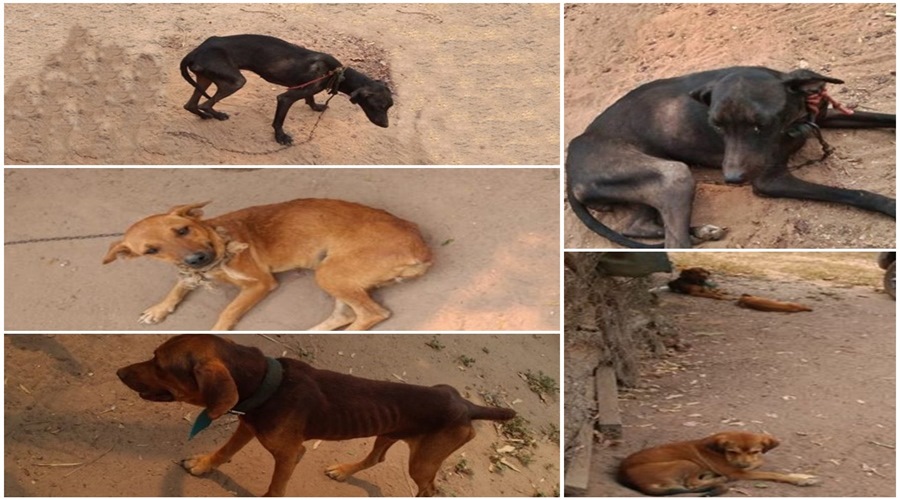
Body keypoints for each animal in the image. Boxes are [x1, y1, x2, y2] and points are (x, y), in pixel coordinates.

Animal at [102, 199, 432, 332]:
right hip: (333, 273)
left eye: (182, 230)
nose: (197, 259)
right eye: (151, 250)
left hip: (330, 274)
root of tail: (422, 247)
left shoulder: (260, 283)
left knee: (372, 313)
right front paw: (159, 309)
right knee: (347, 313)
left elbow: (228, 310)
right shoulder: (191, 274)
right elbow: (177, 286)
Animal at [118, 336, 520, 496]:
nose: (119, 372)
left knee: (429, 488)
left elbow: (275, 489)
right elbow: (223, 452)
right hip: (389, 432)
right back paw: (343, 471)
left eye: (160, 364)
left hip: (423, 462)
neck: (269, 383)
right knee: (376, 458)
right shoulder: (247, 425)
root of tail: (466, 404)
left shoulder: (289, 455)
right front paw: (203, 466)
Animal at [180, 33, 394, 145]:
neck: (335, 72)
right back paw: (215, 115)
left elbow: (310, 98)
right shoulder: (285, 98)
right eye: (378, 106)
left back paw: (204, 117)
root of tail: (195, 51)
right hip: (235, 81)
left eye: (389, 106)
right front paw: (280, 137)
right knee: (206, 103)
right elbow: (279, 121)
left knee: (190, 105)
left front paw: (316, 107)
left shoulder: (305, 89)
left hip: (205, 78)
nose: (386, 126)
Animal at [568, 65, 896, 249]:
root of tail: (570, 174)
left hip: (647, 184)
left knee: (636, 225)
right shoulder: (770, 180)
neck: (793, 122)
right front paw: (890, 206)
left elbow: (888, 118)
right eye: (716, 125)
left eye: (760, 125)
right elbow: (855, 193)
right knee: (674, 242)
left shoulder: (822, 120)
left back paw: (702, 231)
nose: (733, 179)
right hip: (674, 175)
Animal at [620, 430, 824, 496]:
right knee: (691, 484)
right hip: (687, 462)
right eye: (732, 451)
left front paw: (805, 476)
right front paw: (801, 480)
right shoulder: (738, 472)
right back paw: (719, 479)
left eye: (754, 451)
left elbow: (761, 463)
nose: (743, 464)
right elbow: (773, 473)